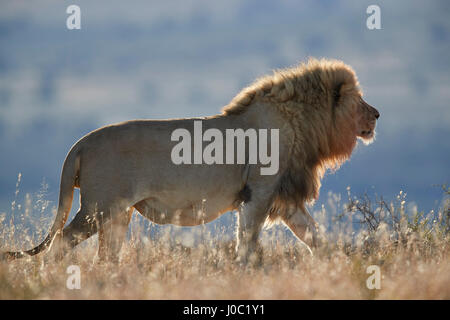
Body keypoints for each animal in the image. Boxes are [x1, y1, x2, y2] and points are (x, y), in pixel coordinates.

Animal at [1, 57, 378, 262]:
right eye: (360, 99)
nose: (377, 114)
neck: (304, 124)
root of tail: (80, 143)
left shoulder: (285, 200)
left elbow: (316, 238)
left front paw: (333, 265)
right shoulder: (258, 194)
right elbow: (247, 243)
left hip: (119, 214)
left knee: (106, 256)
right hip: (99, 208)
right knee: (60, 243)